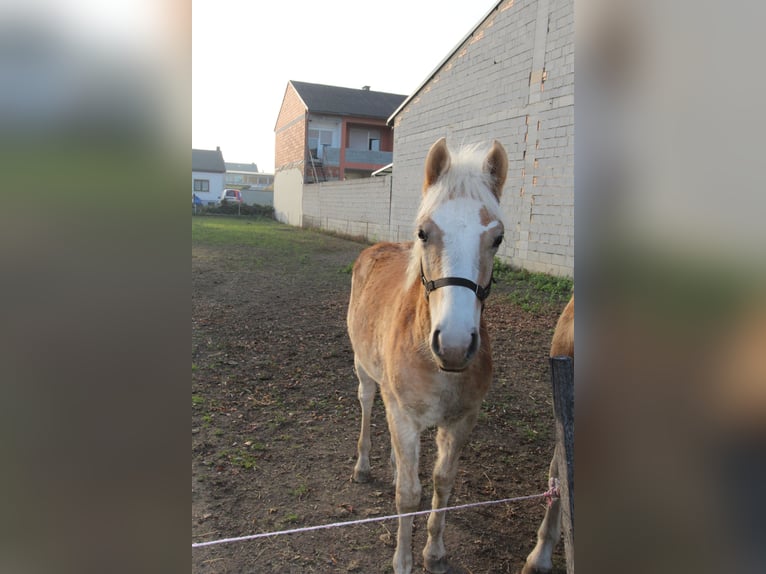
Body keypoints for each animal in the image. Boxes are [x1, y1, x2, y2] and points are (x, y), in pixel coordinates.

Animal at [348, 137, 510, 572]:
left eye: (498, 238)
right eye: (424, 232)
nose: (454, 344)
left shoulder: (461, 421)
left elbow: (442, 481)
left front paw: (434, 551)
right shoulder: (404, 415)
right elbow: (408, 494)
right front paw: (403, 560)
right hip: (364, 371)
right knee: (367, 405)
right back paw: (364, 465)